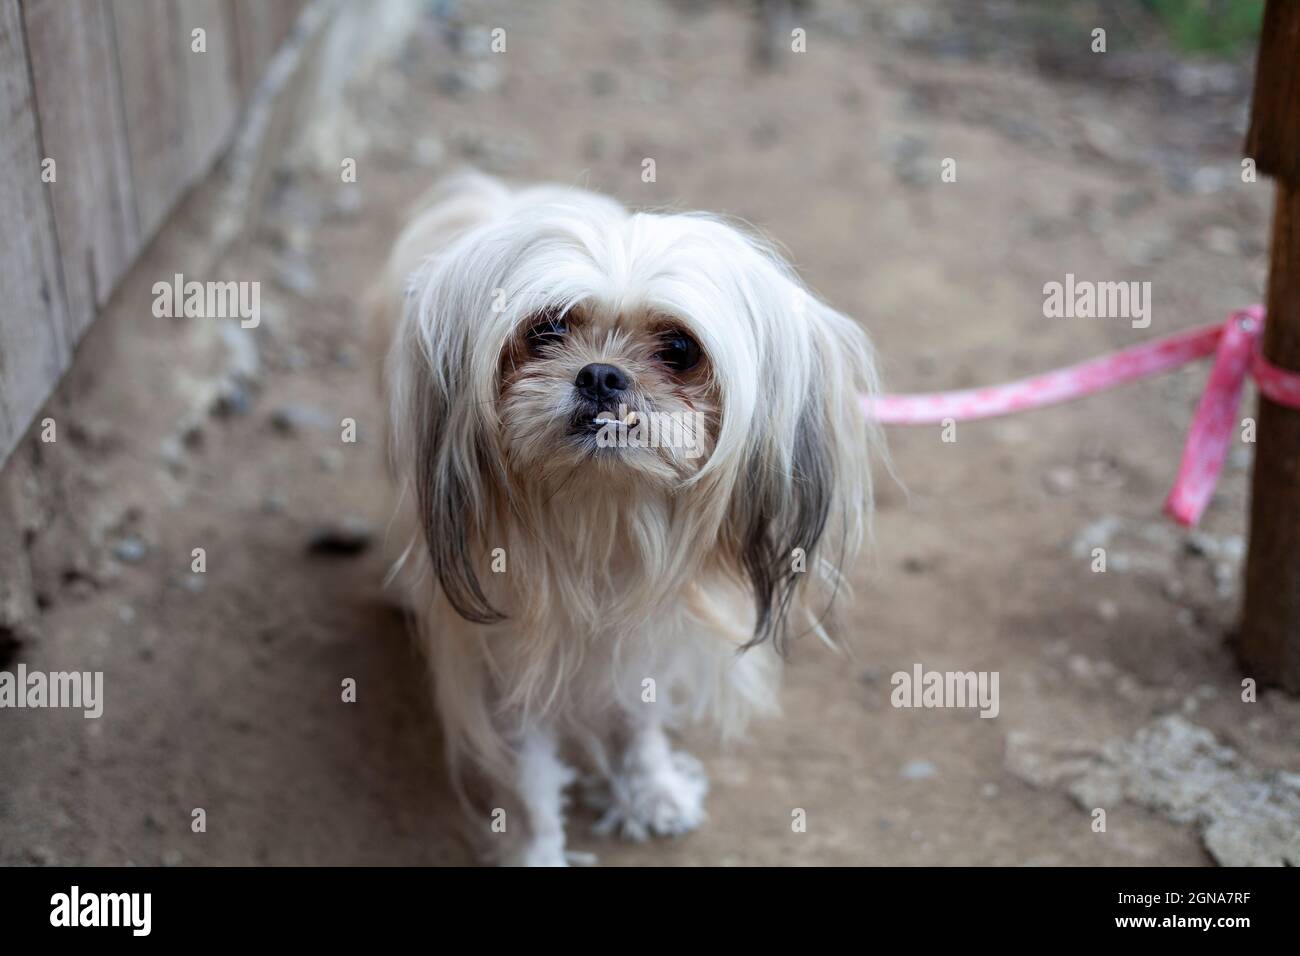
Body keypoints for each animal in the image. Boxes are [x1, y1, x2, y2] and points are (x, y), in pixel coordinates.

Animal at [377, 171, 883, 868]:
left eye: (680, 348)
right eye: (546, 331)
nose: (600, 375)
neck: (603, 512)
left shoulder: (648, 640)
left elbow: (639, 726)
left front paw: (652, 791)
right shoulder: (508, 669)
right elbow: (530, 790)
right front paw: (540, 855)